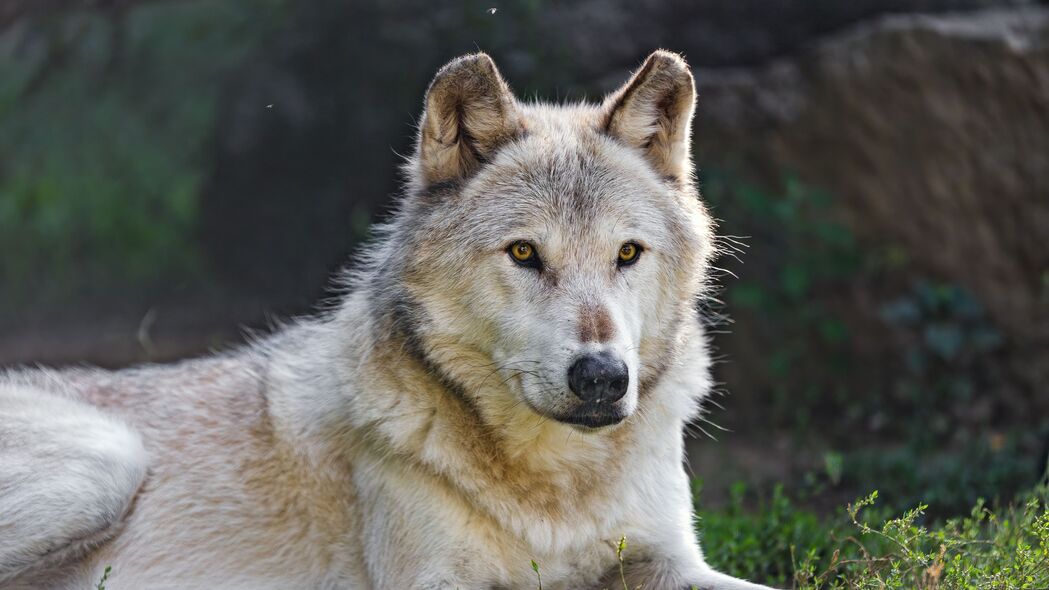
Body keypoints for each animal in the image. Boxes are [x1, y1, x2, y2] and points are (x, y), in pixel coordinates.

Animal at [0, 51, 772, 587]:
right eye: (524, 252)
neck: (553, 495)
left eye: (628, 253)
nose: (603, 378)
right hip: (106, 462)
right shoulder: (432, 579)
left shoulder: (670, 559)